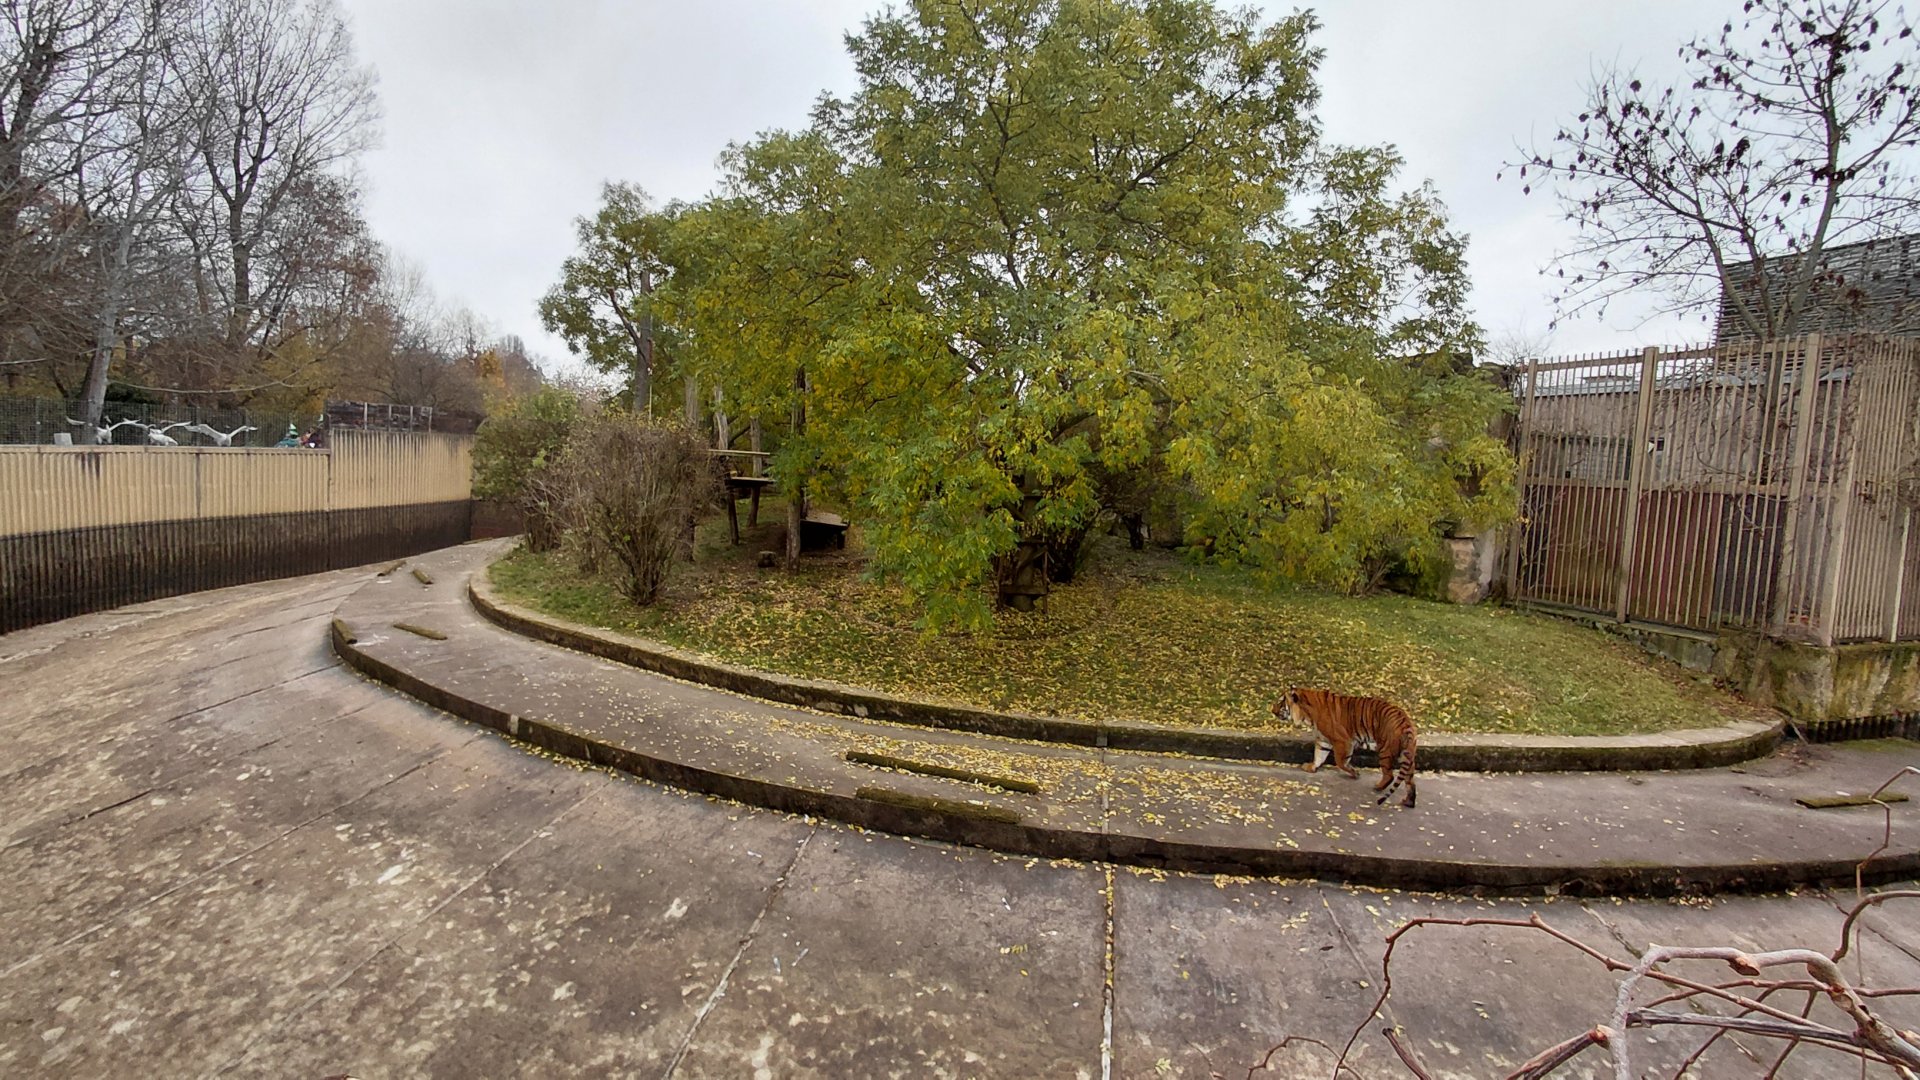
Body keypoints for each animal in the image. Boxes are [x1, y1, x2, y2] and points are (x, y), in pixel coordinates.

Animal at [1271, 687, 1418, 807]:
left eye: (1280, 703)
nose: (1272, 711)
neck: (1306, 714)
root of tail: (1406, 722)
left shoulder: (1343, 741)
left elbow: (1340, 761)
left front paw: (1355, 773)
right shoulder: (1323, 740)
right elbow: (1319, 755)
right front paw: (1311, 767)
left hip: (1385, 751)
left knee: (1389, 775)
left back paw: (1378, 787)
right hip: (1407, 757)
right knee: (1410, 781)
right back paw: (1408, 802)